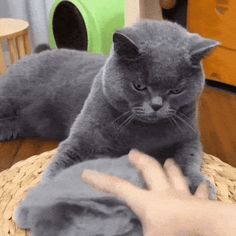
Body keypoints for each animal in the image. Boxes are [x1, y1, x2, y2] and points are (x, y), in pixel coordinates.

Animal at [0, 20, 218, 195]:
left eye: (176, 90)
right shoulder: (83, 139)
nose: (156, 105)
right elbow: (66, 158)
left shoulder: (188, 139)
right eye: (139, 86)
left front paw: (200, 185)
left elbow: (187, 160)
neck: (142, 133)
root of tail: (41, 51)